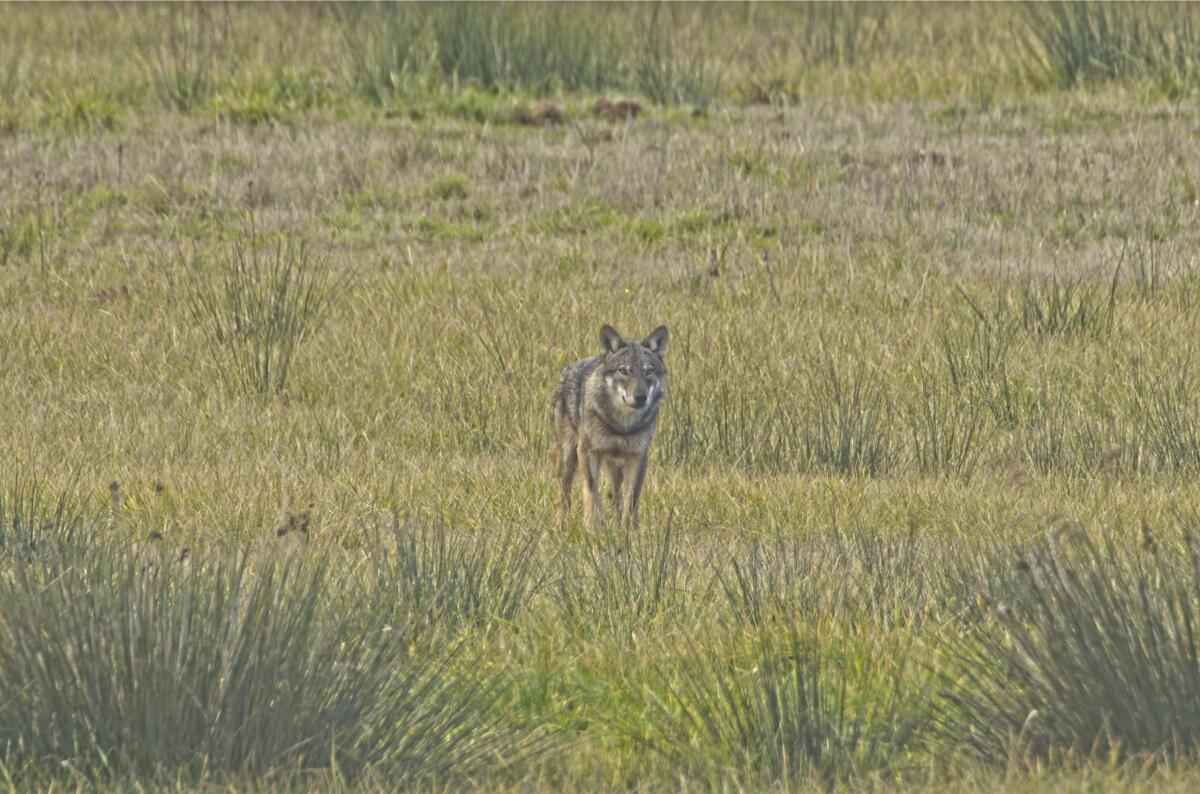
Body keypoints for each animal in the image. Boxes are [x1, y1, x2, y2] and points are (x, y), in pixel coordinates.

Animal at [552, 324, 668, 529]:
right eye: (623, 370)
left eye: (649, 371)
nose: (640, 397)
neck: (622, 425)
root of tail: (568, 369)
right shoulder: (588, 452)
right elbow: (591, 491)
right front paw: (592, 526)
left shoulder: (638, 456)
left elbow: (632, 498)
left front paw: (629, 530)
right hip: (568, 459)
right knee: (563, 496)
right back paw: (559, 527)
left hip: (615, 466)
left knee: (615, 495)